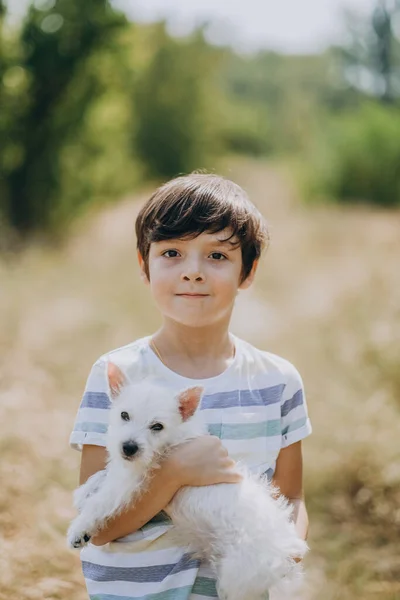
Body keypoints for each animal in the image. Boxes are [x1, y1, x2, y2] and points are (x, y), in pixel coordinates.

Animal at [67, 372, 308, 596]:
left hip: (238, 580)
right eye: (124, 415)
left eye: (157, 426)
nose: (128, 447)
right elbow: (104, 474)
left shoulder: (131, 481)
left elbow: (100, 501)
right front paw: (85, 490)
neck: (172, 439)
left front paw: (79, 530)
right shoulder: (130, 472)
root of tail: (287, 552)